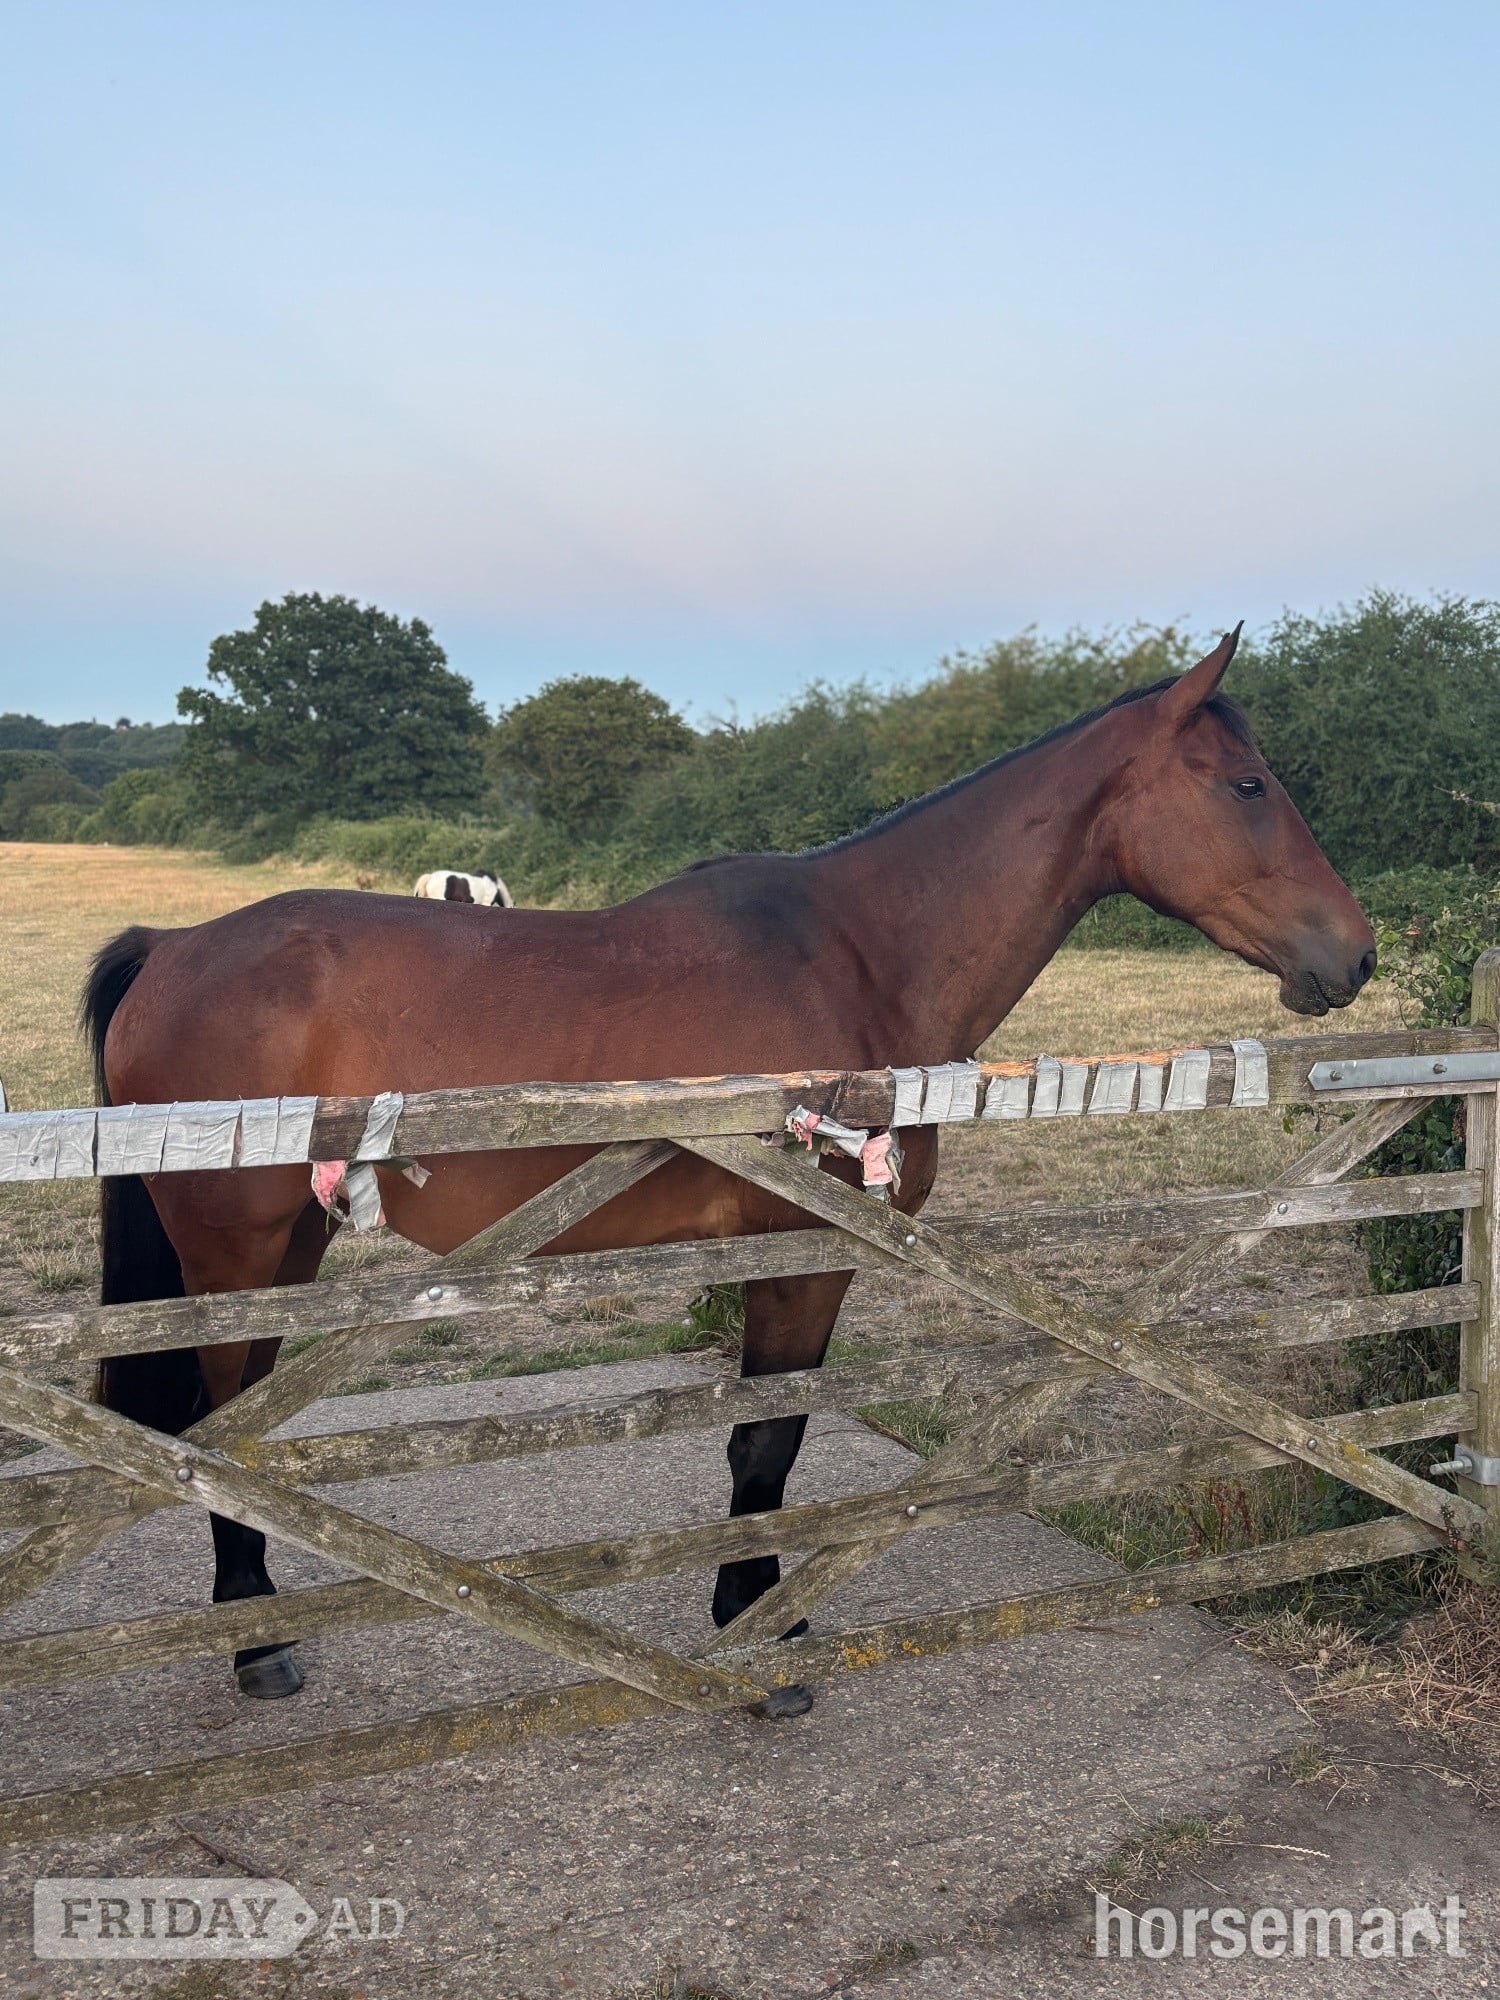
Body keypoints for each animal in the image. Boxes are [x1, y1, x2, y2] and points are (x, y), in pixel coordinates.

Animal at [86, 628, 1374, 1700]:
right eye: (1247, 785)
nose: (1354, 953)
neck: (859, 953)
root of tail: (174, 946)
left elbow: (765, 1434)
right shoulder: (804, 1247)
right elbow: (769, 1438)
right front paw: (762, 1630)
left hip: (288, 1243)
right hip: (237, 1244)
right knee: (213, 1430)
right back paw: (255, 1642)